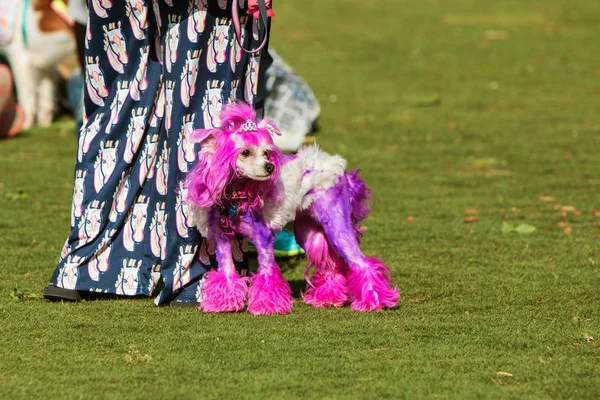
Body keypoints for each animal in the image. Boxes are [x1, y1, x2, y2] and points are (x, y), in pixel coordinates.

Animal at [0, 0, 75, 128]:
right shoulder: (46, 66)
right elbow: (46, 97)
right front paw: (44, 124)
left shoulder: (19, 58)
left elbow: (26, 96)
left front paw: (25, 125)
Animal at [186, 103, 398, 316]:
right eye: (245, 152)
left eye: (266, 153)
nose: (270, 167)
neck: (235, 197)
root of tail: (340, 171)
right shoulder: (221, 240)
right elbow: (227, 272)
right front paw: (223, 304)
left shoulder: (263, 238)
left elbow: (267, 274)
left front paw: (267, 306)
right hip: (309, 231)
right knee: (332, 266)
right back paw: (328, 298)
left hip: (338, 227)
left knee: (361, 262)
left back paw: (374, 301)